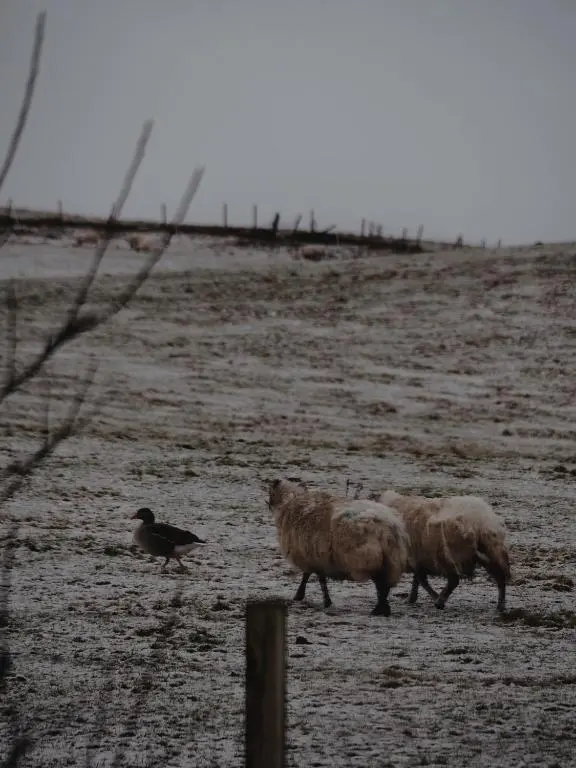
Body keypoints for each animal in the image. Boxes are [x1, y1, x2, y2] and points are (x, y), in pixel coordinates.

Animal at [267, 478, 410, 616]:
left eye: (270, 493)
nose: (268, 505)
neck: (290, 501)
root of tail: (386, 527)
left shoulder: (309, 557)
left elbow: (312, 578)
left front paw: (303, 596)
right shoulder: (317, 559)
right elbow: (317, 579)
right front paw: (322, 600)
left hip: (369, 559)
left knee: (380, 584)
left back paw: (379, 610)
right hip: (392, 560)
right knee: (385, 586)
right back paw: (383, 609)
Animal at [369, 489, 511, 612]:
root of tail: (479, 522)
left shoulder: (416, 557)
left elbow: (421, 579)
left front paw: (430, 596)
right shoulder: (418, 557)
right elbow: (418, 579)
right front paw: (412, 598)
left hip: (450, 554)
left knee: (454, 580)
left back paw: (440, 601)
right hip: (493, 550)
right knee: (500, 577)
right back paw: (501, 606)